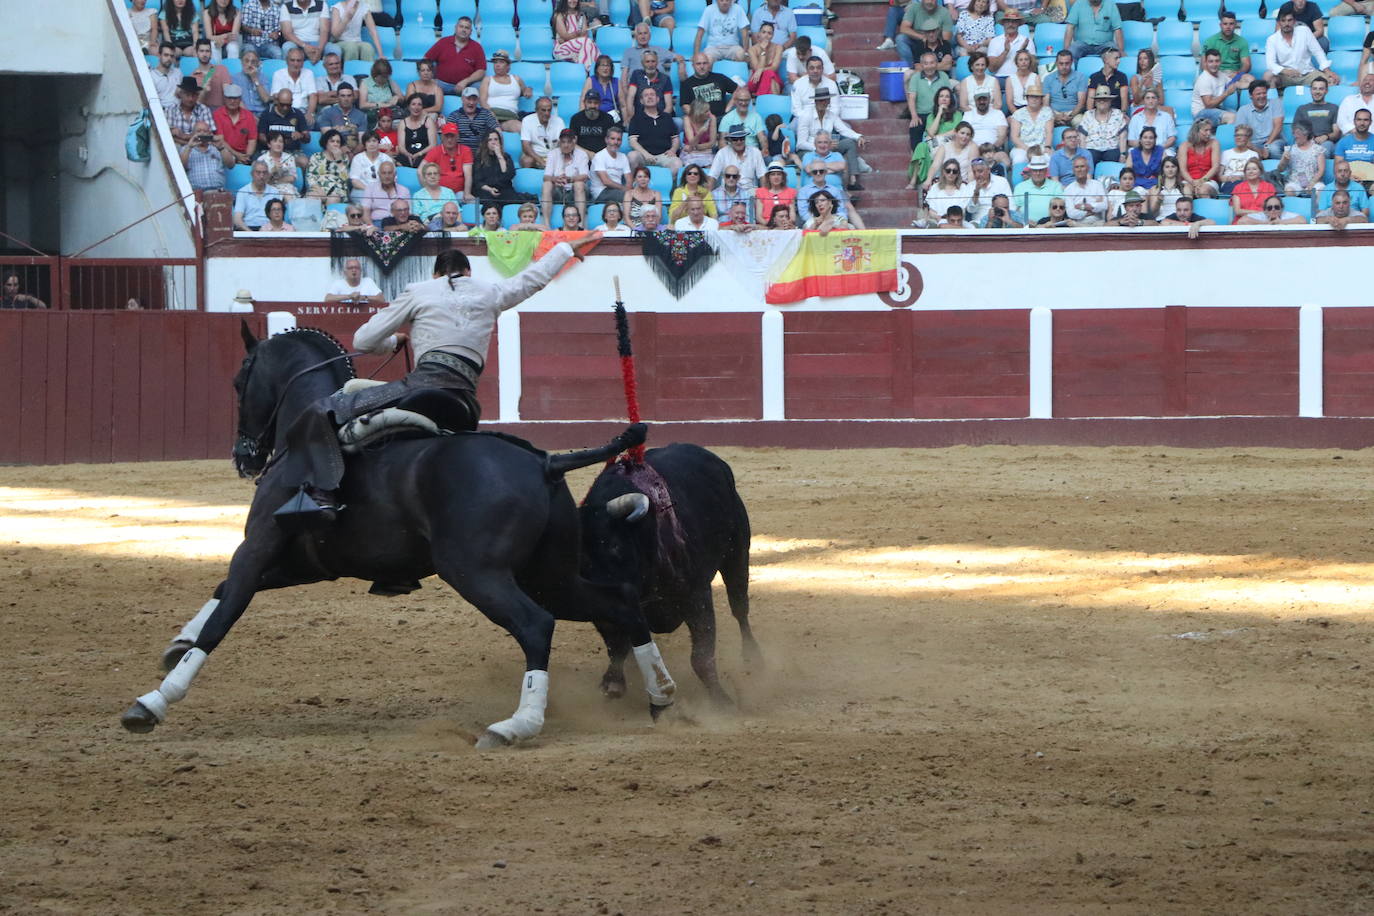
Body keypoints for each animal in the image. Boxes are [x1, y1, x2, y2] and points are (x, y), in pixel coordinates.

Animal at [120, 325, 678, 747]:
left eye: (241, 379)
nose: (244, 456)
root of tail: (544, 461)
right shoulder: (301, 563)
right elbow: (221, 594)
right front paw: (177, 642)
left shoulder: (255, 547)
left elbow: (225, 613)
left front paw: (152, 701)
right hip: (551, 574)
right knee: (619, 602)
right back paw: (660, 697)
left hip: (477, 572)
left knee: (536, 625)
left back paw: (515, 725)